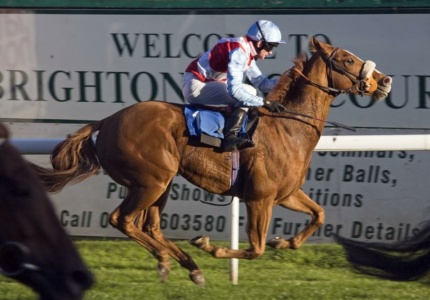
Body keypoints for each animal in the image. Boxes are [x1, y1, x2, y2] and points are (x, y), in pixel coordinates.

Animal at [30, 38, 394, 284]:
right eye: (347, 59)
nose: (385, 80)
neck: (289, 127)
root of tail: (106, 121)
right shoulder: (260, 198)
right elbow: (256, 248)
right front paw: (213, 246)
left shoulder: (286, 193)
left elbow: (319, 215)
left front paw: (284, 240)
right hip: (151, 181)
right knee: (123, 220)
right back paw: (170, 259)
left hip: (161, 182)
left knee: (150, 226)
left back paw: (188, 266)